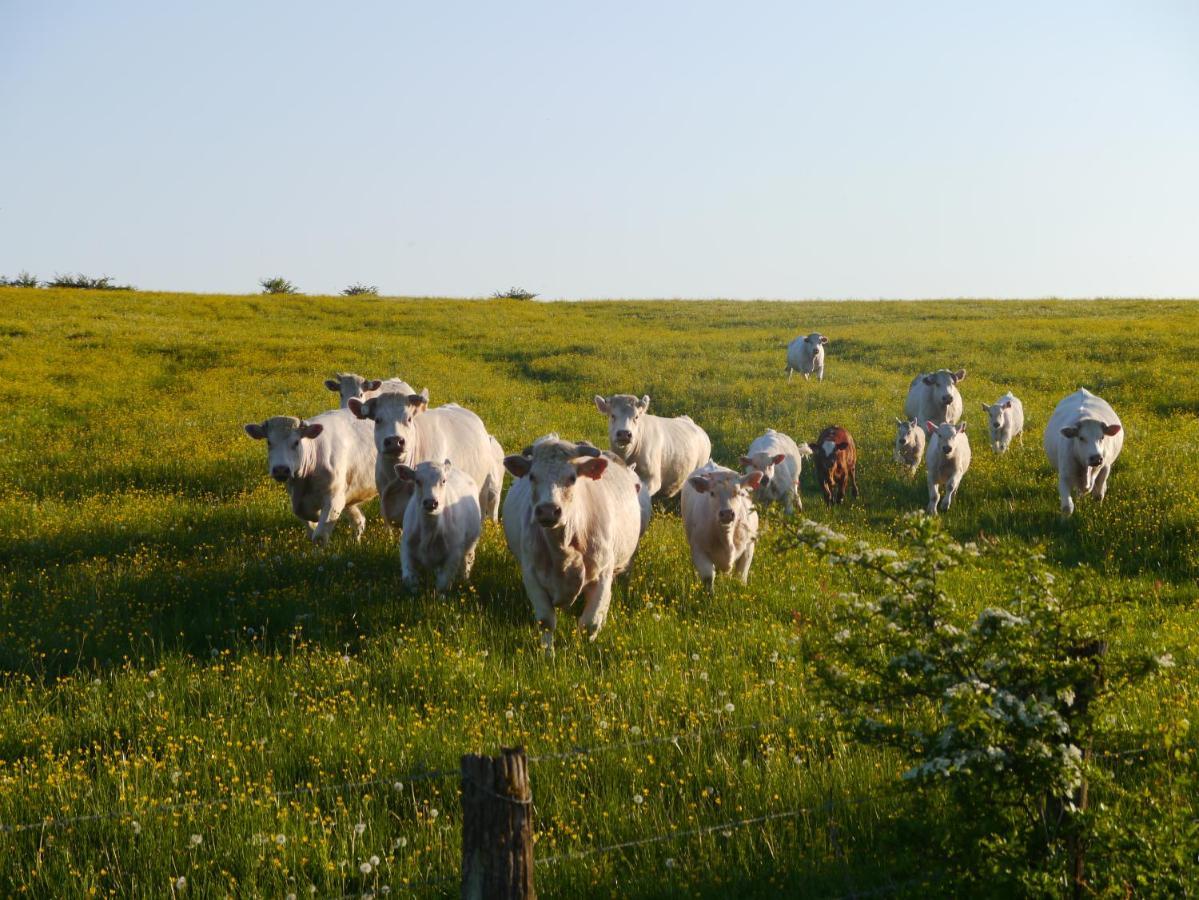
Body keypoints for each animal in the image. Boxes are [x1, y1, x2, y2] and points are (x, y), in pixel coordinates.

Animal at [243, 407, 374, 541]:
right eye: (269, 442)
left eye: (296, 442)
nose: (280, 469)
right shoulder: (297, 500)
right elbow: (311, 530)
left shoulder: (334, 499)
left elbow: (319, 536)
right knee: (358, 521)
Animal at [398, 460, 481, 594]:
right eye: (417, 481)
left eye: (443, 481)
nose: (430, 503)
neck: (428, 531)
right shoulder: (406, 548)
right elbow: (409, 579)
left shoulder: (453, 554)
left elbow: (443, 584)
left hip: (471, 544)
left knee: (467, 562)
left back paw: (465, 580)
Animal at [501, 438, 647, 656]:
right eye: (532, 476)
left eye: (572, 477)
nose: (548, 511)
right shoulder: (532, 576)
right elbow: (546, 622)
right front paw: (548, 656)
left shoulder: (602, 574)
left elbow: (590, 623)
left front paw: (585, 652)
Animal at [685, 460, 757, 594]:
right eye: (712, 493)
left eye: (738, 493)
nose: (727, 513)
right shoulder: (698, 549)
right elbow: (708, 576)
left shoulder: (749, 546)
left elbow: (740, 577)